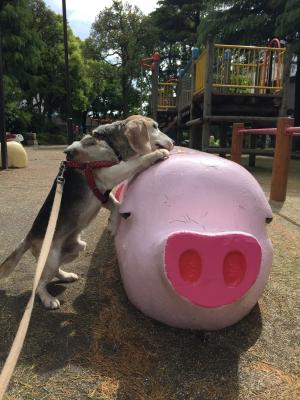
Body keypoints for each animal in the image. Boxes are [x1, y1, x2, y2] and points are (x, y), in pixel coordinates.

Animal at [0, 115, 173, 310]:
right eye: (155, 127)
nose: (174, 143)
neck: (107, 142)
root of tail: (29, 236)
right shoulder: (106, 175)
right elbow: (137, 162)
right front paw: (156, 155)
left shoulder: (103, 194)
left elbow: (117, 205)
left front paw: (113, 225)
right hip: (51, 256)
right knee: (39, 284)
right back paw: (47, 299)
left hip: (76, 248)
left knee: (52, 272)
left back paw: (66, 275)